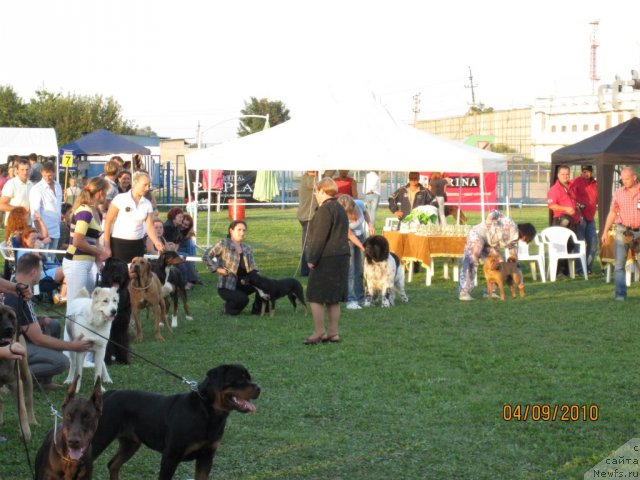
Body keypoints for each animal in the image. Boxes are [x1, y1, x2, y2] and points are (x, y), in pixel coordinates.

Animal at [0, 306, 37, 440]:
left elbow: (22, 408)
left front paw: (25, 431)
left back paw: (33, 421)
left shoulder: (16, 383)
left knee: (29, 400)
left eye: (12, 317)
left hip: (26, 374)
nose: (9, 329)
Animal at [90, 364, 260, 480]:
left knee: (113, 465)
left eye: (249, 378)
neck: (208, 412)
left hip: (130, 443)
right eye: (240, 379)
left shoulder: (206, 457)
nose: (259, 387)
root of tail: (109, 394)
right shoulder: (170, 457)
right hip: (99, 439)